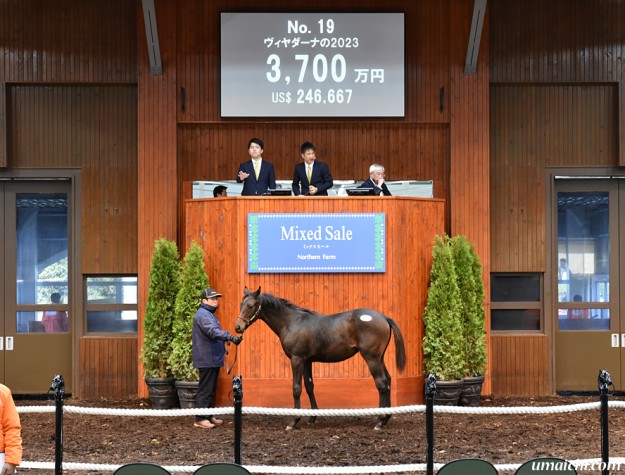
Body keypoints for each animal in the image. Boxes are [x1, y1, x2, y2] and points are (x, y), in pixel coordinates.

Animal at [234, 286, 407, 430]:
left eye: (251, 306)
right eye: (241, 305)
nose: (238, 327)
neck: (292, 322)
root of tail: (384, 317)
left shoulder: (297, 359)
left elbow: (296, 388)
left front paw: (294, 420)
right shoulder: (307, 361)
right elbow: (309, 386)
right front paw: (312, 417)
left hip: (371, 358)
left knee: (381, 383)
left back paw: (380, 421)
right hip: (379, 358)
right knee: (388, 380)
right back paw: (386, 417)